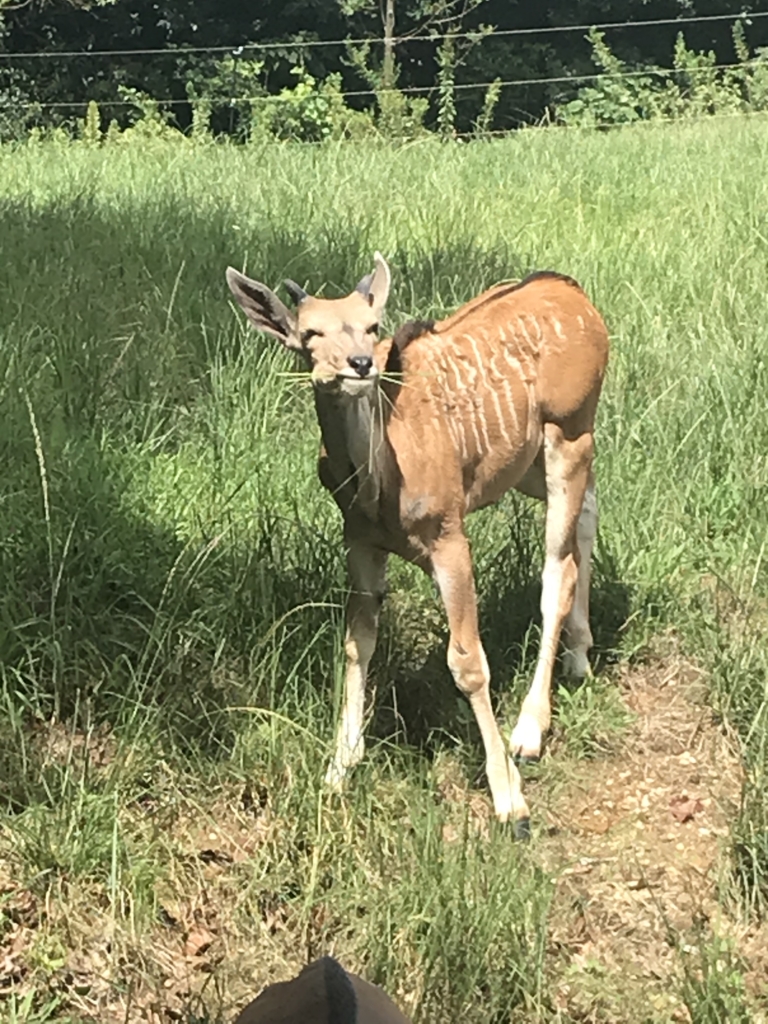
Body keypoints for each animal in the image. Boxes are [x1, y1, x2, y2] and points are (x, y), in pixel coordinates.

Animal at [225, 251, 610, 835]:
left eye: (371, 326)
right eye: (309, 333)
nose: (360, 364)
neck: (380, 482)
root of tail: (576, 295)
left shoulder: (449, 533)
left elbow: (467, 663)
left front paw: (509, 801)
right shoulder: (359, 540)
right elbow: (357, 643)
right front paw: (339, 766)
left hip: (570, 431)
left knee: (557, 570)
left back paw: (529, 730)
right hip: (526, 465)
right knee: (588, 513)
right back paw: (580, 657)